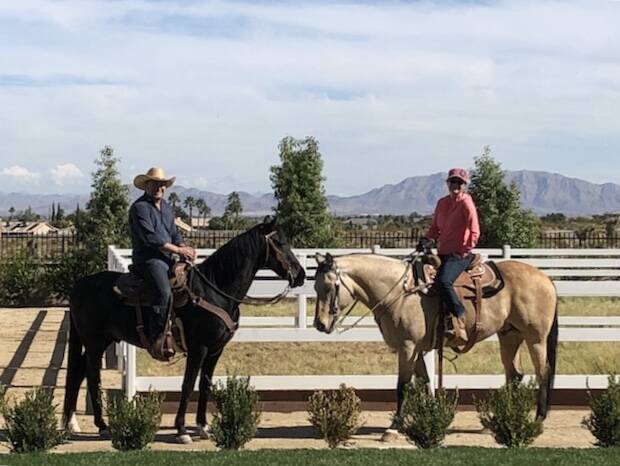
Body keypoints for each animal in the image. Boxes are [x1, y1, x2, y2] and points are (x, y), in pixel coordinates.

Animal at [63, 218, 306, 444]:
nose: (301, 275)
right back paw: (101, 425)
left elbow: (205, 385)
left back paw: (71, 423)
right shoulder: (199, 348)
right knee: (92, 376)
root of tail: (78, 286)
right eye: (279, 242)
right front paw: (181, 430)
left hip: (103, 340)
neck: (214, 290)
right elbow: (188, 385)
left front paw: (203, 427)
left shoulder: (215, 350)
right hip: (94, 342)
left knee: (78, 372)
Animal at [312, 253, 560, 438]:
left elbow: (403, 385)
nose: (319, 324)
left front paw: (394, 428)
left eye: (330, 286)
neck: (400, 292)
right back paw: (501, 418)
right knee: (515, 374)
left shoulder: (407, 347)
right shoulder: (416, 349)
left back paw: (538, 419)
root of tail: (545, 278)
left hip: (535, 338)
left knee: (542, 373)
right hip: (509, 336)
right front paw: (432, 416)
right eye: (314, 287)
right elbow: (425, 382)